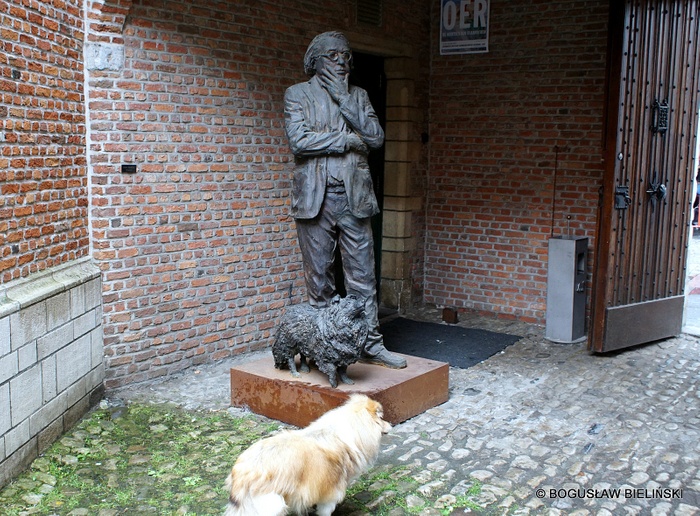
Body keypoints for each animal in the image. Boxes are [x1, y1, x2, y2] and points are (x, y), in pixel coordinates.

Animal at [223, 394, 391, 516]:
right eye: (382, 418)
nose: (391, 425)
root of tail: (242, 473)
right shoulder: (332, 491)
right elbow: (325, 510)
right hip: (273, 503)